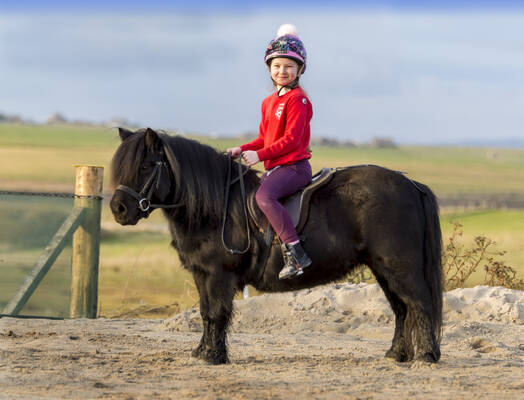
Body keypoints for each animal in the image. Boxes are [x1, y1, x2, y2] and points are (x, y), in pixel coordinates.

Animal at [109, 128, 442, 366]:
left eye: (146, 166)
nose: (118, 209)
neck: (216, 208)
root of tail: (410, 184)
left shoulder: (219, 275)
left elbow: (217, 313)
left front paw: (214, 356)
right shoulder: (202, 275)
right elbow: (205, 313)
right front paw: (201, 351)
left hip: (400, 267)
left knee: (419, 304)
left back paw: (426, 356)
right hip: (383, 268)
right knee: (402, 309)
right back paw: (396, 354)